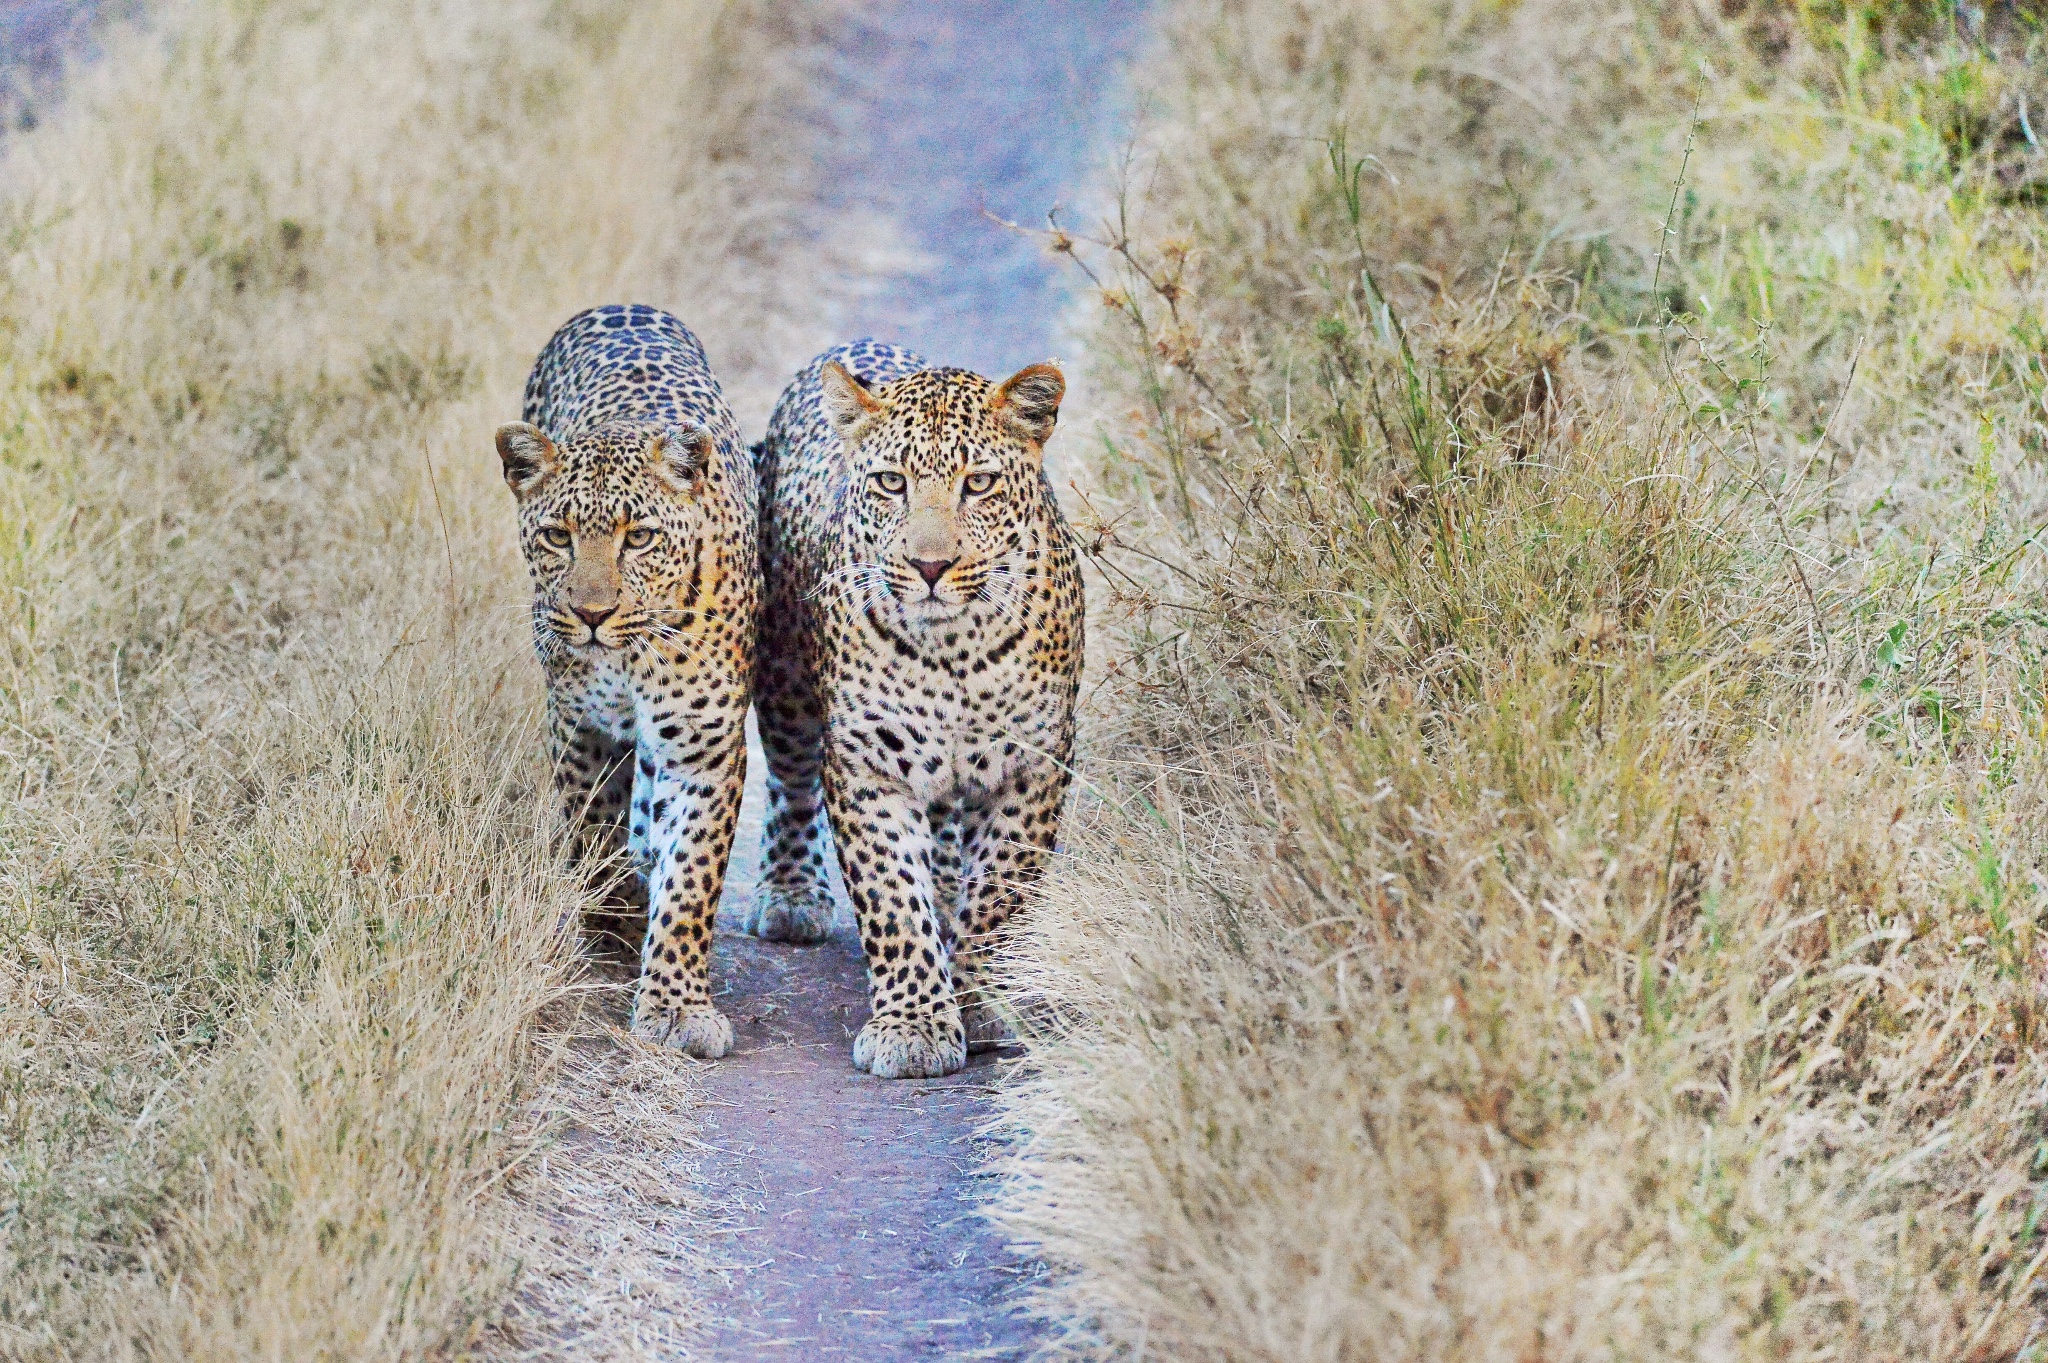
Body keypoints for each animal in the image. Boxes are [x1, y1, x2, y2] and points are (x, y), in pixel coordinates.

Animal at [495, 302, 761, 1056]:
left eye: (638, 537)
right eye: (557, 536)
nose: (591, 614)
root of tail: (620, 306)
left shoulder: (703, 746)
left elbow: (693, 876)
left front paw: (676, 1005)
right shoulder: (578, 723)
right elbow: (592, 824)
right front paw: (613, 920)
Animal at [753, 337, 1089, 1072]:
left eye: (979, 484)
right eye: (890, 483)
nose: (930, 567)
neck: (954, 648)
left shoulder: (1033, 764)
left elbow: (1000, 895)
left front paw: (981, 1000)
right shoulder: (867, 765)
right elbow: (891, 900)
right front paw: (913, 1024)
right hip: (786, 684)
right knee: (790, 783)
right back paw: (790, 894)